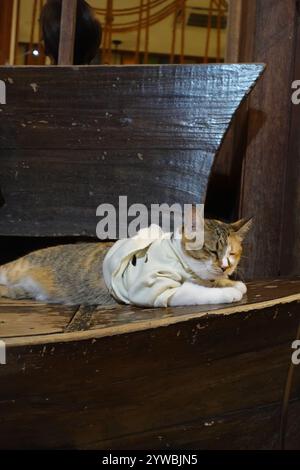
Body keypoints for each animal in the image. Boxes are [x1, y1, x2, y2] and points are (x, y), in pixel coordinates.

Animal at [0, 211, 252, 306]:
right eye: (212, 251)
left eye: (231, 253)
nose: (225, 267)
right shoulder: (154, 289)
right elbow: (194, 291)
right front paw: (227, 291)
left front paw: (228, 282)